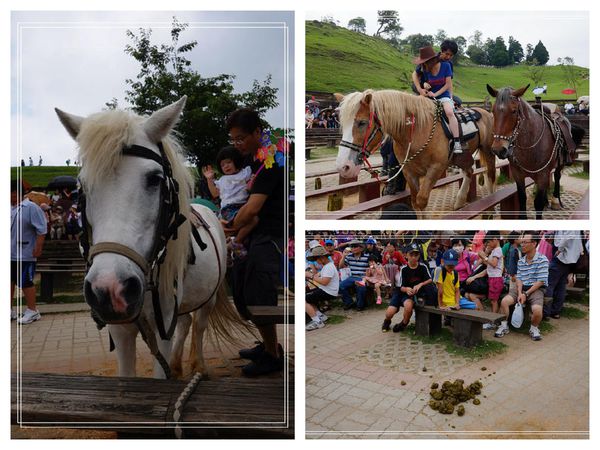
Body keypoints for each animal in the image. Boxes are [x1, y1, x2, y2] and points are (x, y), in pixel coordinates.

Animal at [54, 98, 246, 380]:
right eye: (81, 186)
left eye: (155, 180)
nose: (110, 289)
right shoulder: (121, 328)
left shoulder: (162, 321)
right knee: (185, 323)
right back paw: (176, 365)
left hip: (207, 298)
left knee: (199, 326)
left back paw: (198, 365)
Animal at [332, 89, 496, 218]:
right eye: (341, 124)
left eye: (362, 123)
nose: (343, 167)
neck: (417, 131)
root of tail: (485, 112)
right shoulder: (408, 171)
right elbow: (415, 202)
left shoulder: (436, 168)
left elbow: (422, 200)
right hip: (462, 157)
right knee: (469, 171)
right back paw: (460, 201)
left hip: (488, 151)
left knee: (490, 174)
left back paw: (492, 204)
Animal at [488, 85, 580, 221]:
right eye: (493, 111)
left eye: (514, 111)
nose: (498, 149)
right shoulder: (518, 175)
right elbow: (522, 198)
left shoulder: (542, 174)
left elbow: (538, 203)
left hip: (560, 163)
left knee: (557, 176)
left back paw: (555, 201)